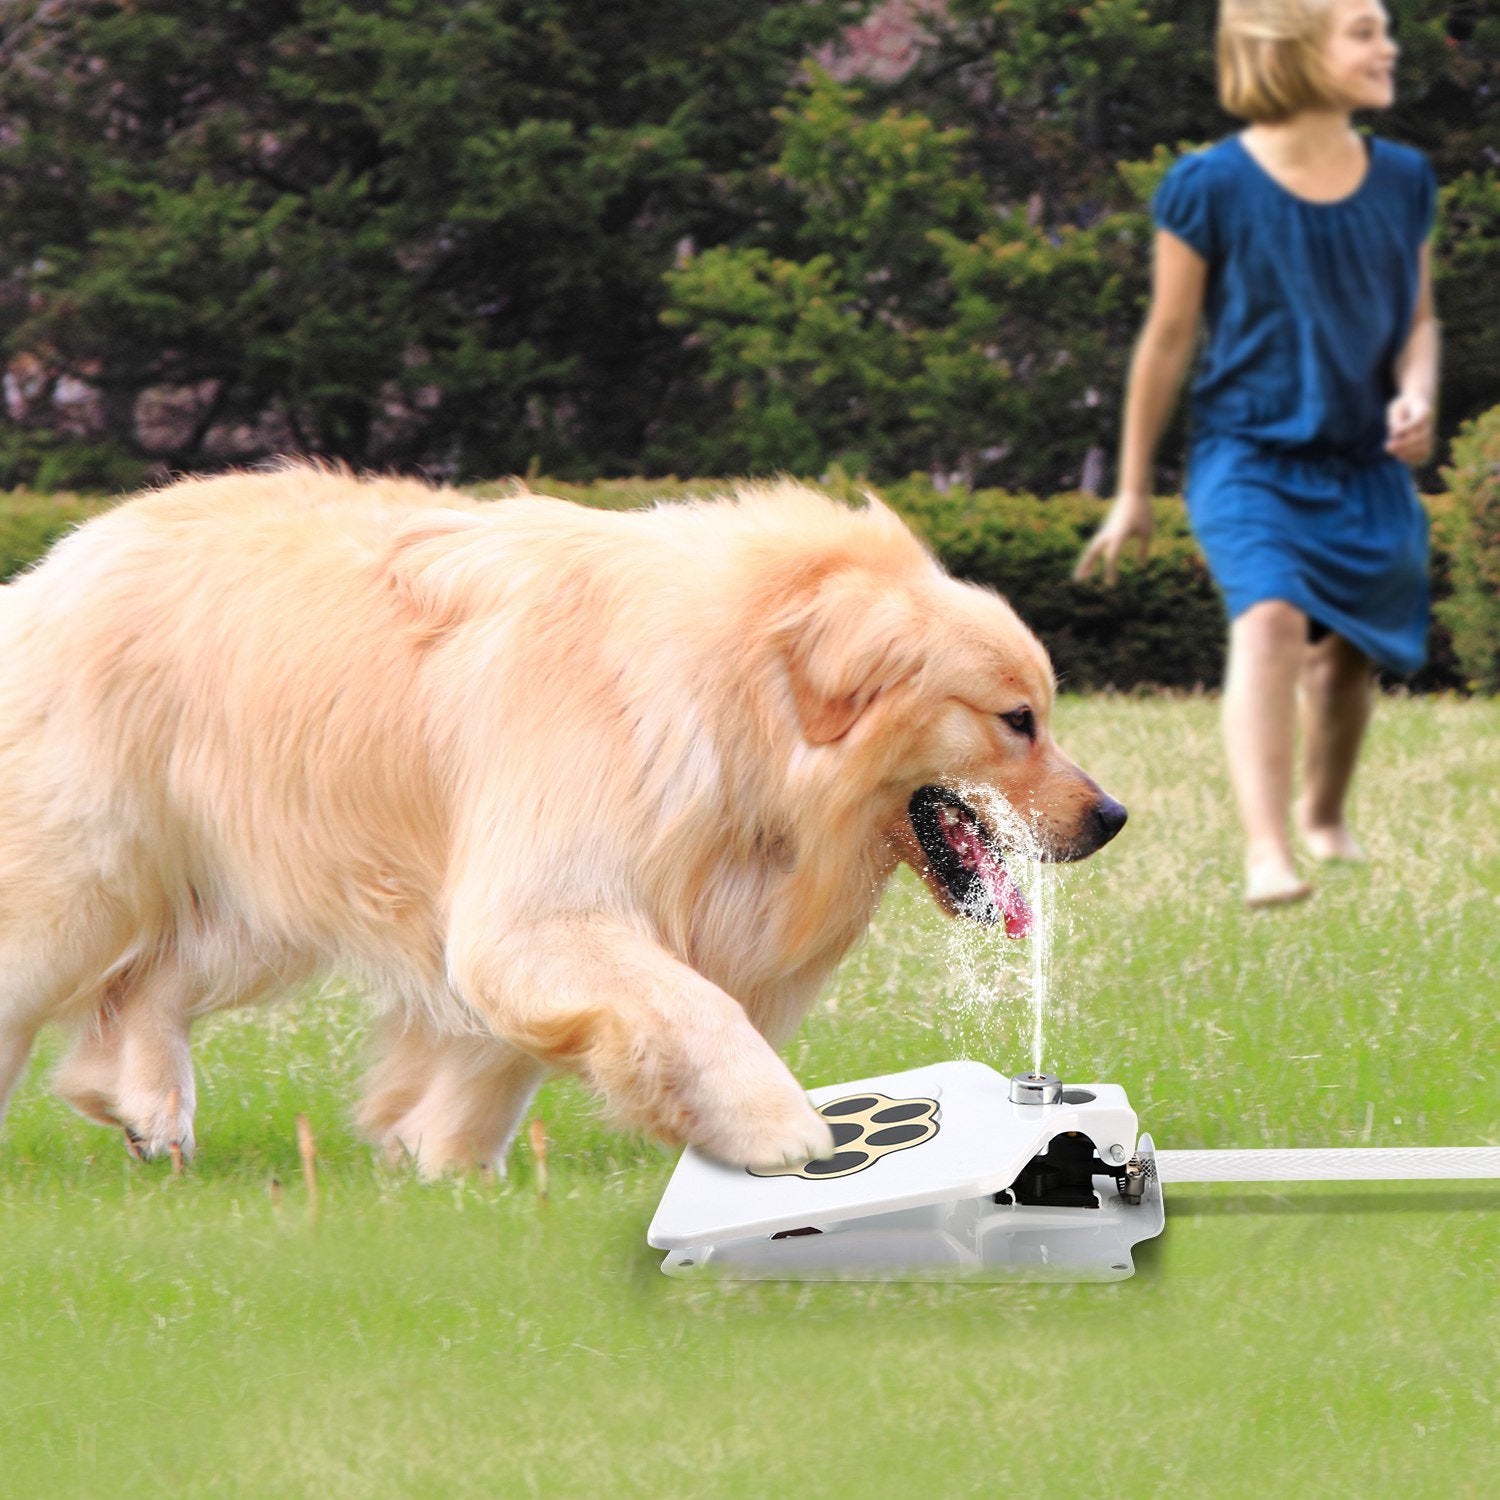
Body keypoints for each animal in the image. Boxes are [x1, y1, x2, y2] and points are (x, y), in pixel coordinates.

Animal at [0, 474, 1128, 1176]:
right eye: (1016, 720)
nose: (1113, 816)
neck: (735, 697)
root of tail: (54, 566)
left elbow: (495, 1057)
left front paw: (441, 1163)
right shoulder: (546, 906)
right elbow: (695, 1009)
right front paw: (786, 1134)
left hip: (264, 890)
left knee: (142, 986)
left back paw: (150, 1112)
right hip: (84, 882)